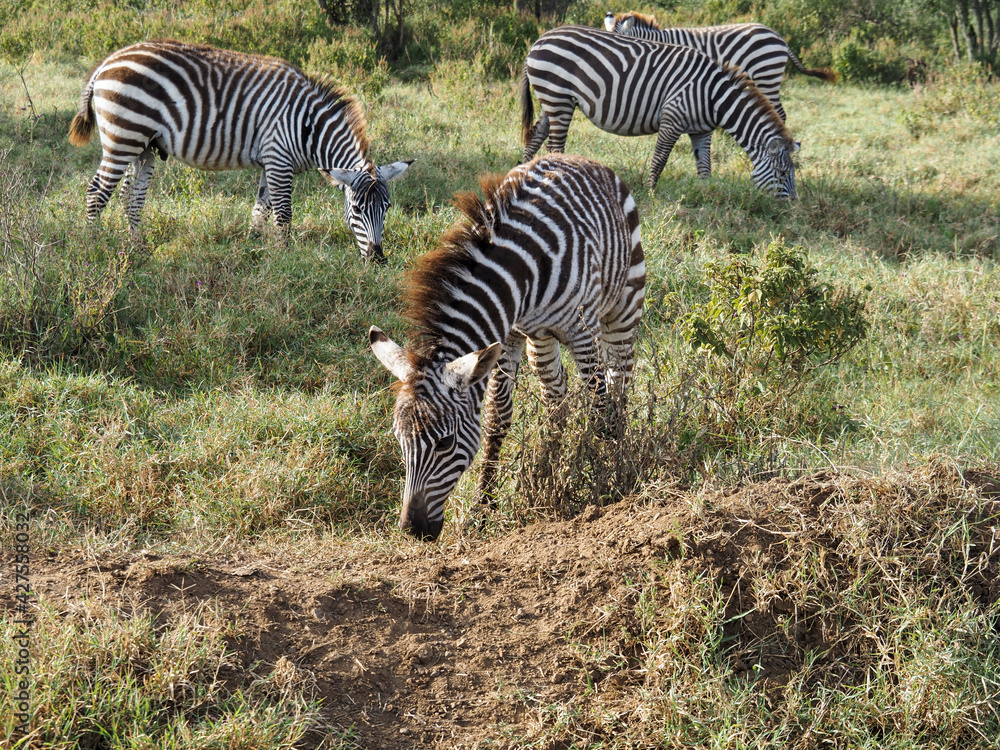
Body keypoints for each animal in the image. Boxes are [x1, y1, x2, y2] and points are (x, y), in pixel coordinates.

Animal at [68, 40, 412, 262]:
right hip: (123, 136)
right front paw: (286, 260)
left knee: (132, 196)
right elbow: (284, 214)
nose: (378, 260)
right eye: (356, 209)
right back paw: (91, 248)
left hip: (144, 146)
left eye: (387, 208)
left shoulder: (271, 162)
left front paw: (253, 249)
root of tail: (107, 61)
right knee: (97, 192)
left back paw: (137, 249)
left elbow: (261, 209)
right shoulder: (279, 158)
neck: (309, 128)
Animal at [369, 154, 646, 541]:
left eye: (444, 443)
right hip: (540, 340)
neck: (519, 274)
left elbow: (598, 406)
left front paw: (610, 483)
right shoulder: (508, 335)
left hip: (621, 310)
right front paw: (481, 511)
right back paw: (548, 471)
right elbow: (497, 419)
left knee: (618, 383)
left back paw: (620, 452)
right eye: (399, 440)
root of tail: (579, 158)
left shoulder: (580, 330)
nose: (412, 530)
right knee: (556, 399)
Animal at [520, 26, 799, 198]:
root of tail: (539, 40)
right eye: (783, 173)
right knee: (555, 147)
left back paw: (524, 175)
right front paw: (651, 193)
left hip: (551, 100)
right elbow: (660, 159)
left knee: (535, 136)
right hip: (558, 97)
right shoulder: (672, 119)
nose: (792, 206)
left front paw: (706, 193)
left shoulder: (702, 131)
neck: (714, 97)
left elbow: (705, 166)